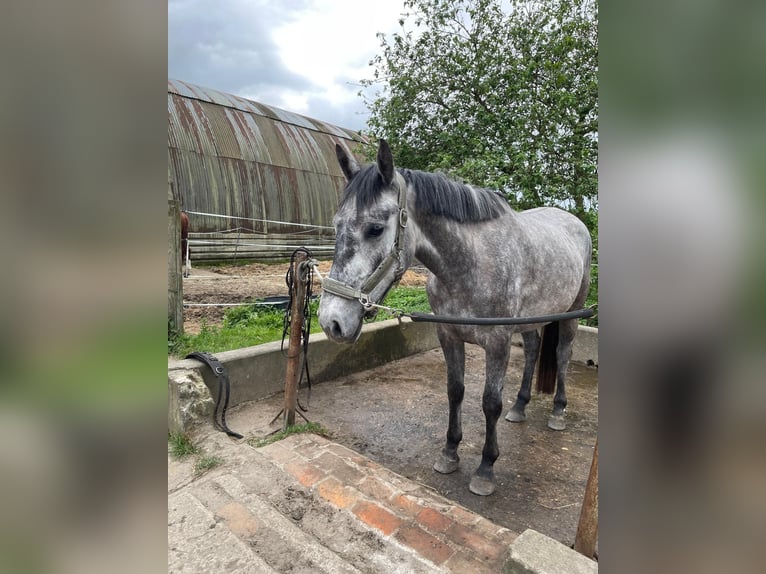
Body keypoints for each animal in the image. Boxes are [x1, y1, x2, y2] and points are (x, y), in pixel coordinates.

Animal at [318, 141, 592, 500]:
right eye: (336, 225)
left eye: (375, 229)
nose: (331, 322)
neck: (472, 264)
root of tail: (573, 221)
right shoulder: (448, 335)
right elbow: (455, 391)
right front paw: (449, 453)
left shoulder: (498, 343)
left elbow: (490, 403)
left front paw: (486, 468)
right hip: (534, 320)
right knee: (533, 350)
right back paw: (520, 407)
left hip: (573, 311)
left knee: (562, 355)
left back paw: (559, 411)